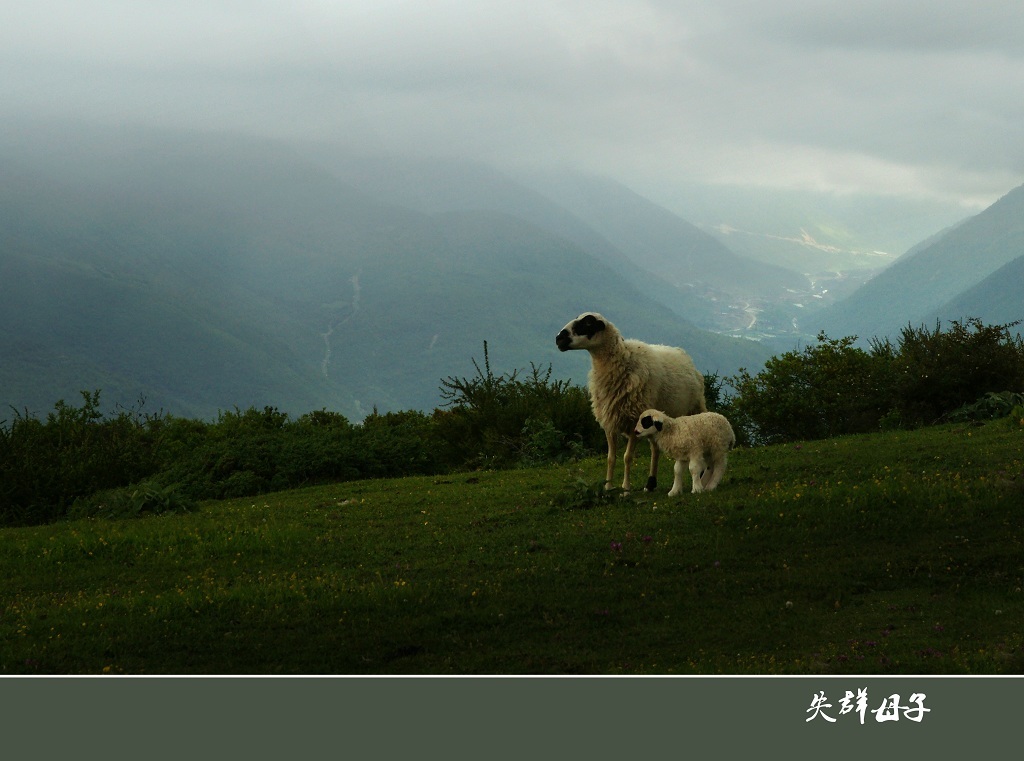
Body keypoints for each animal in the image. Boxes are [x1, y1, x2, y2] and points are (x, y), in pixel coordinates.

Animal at [557, 311, 708, 493]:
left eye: (588, 323)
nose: (559, 339)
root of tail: (682, 352)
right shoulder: (610, 423)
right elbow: (611, 458)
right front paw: (608, 487)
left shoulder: (633, 422)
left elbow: (627, 457)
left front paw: (626, 488)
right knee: (655, 449)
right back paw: (650, 483)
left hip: (695, 407)